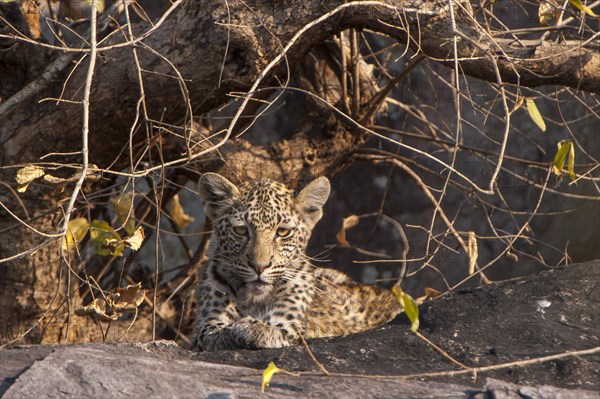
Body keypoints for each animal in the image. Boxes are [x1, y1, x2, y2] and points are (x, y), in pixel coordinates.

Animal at [192, 173, 404, 352]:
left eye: (282, 232)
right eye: (241, 230)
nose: (259, 266)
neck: (254, 300)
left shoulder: (290, 323)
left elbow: (271, 328)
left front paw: (247, 327)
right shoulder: (207, 323)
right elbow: (215, 332)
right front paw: (235, 330)